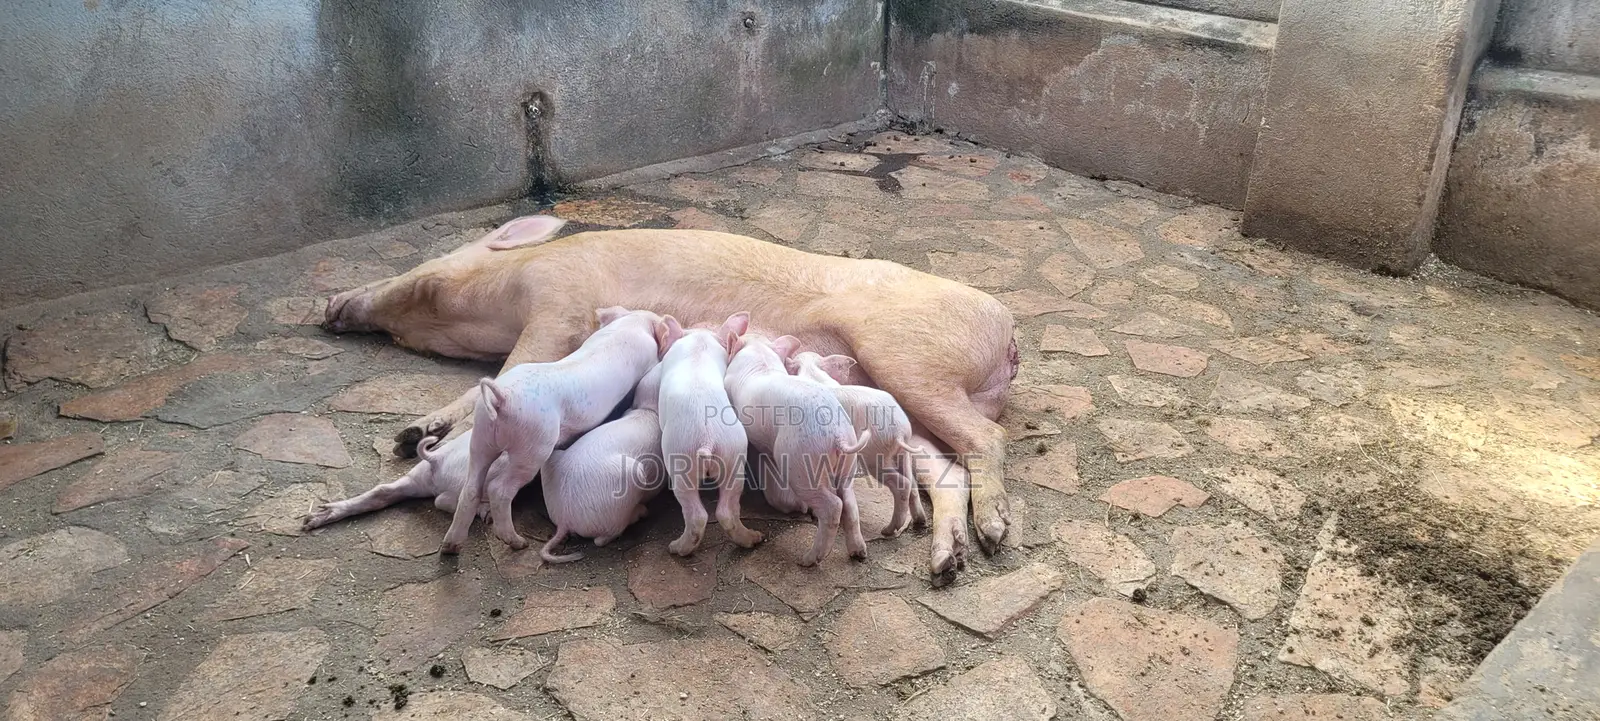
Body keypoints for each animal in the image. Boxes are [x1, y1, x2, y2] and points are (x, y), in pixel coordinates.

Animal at [539, 363, 667, 563]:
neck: (648, 409)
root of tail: (565, 518)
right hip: (630, 476)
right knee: (603, 537)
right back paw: (640, 512)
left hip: (551, 458)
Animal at [654, 312, 766, 556]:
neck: (699, 342)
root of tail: (707, 440)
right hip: (734, 457)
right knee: (727, 510)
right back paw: (754, 539)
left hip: (680, 460)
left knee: (696, 514)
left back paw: (676, 548)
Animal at [725, 332, 870, 566]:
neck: (759, 354)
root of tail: (837, 435)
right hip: (847, 465)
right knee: (849, 503)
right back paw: (858, 552)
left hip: (800, 463)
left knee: (833, 506)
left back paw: (808, 560)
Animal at [787, 351, 928, 537]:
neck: (812, 370)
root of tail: (900, 431)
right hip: (902, 453)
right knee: (912, 483)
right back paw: (920, 521)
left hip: (874, 454)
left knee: (902, 484)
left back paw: (887, 530)